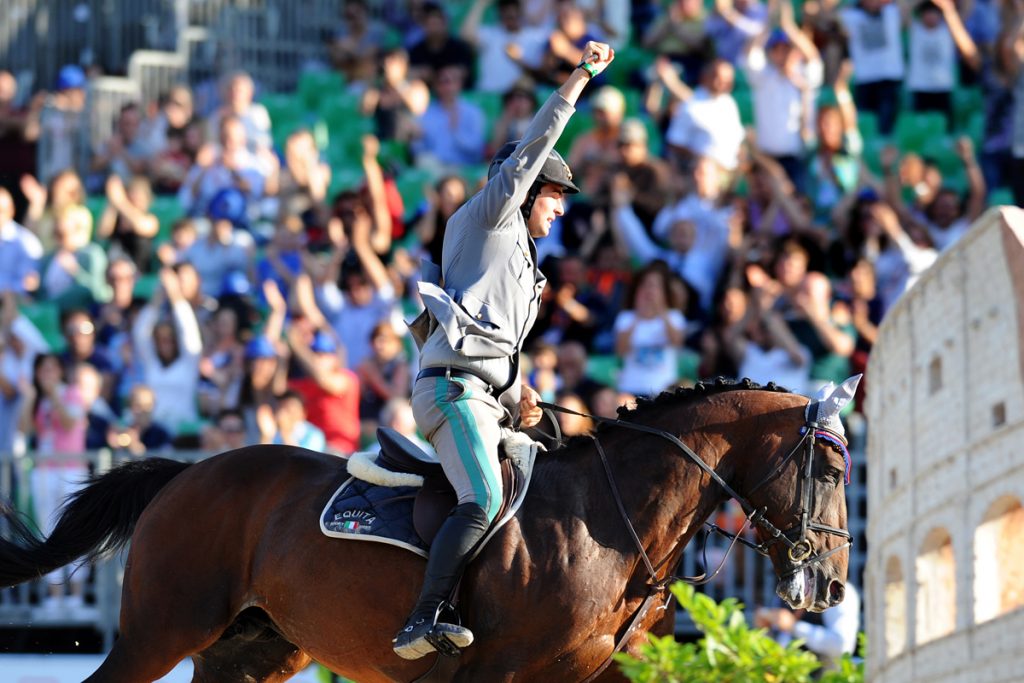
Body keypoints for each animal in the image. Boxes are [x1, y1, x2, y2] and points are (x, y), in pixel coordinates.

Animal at [0, 376, 856, 679]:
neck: (605, 520)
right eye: (832, 469)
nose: (832, 584)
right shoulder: (495, 673)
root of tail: (184, 473)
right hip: (161, 631)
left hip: (251, 650)